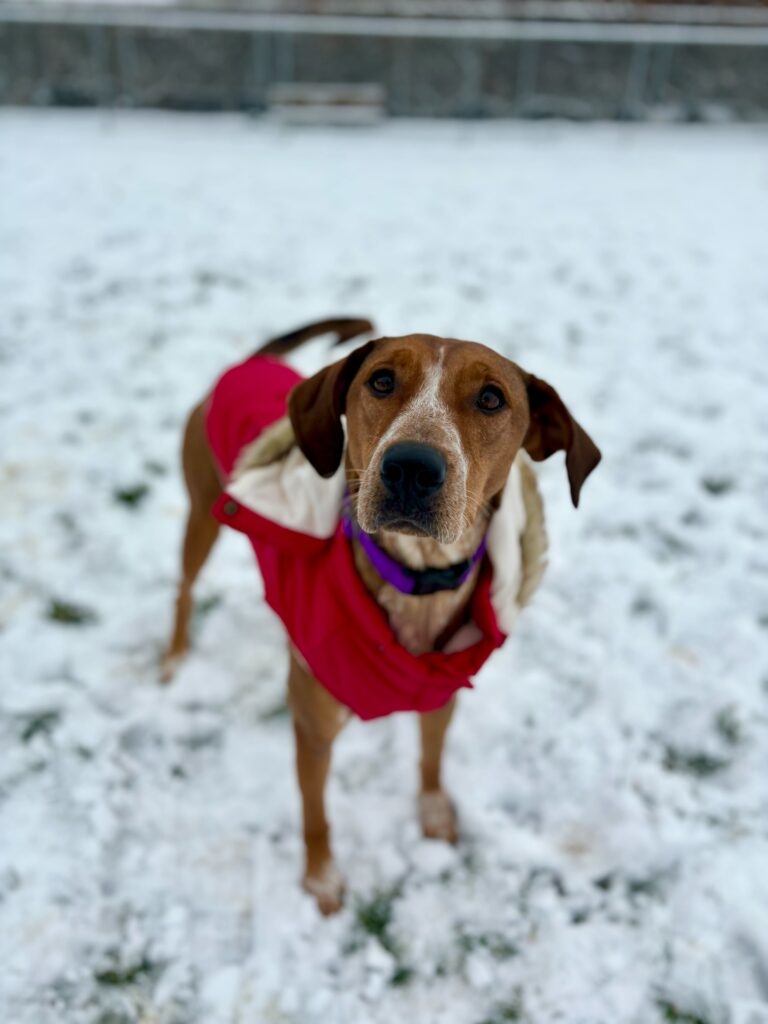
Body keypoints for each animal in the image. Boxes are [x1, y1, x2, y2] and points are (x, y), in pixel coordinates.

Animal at [166, 317, 602, 913]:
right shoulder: (313, 730)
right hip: (201, 513)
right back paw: (173, 658)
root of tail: (252, 360)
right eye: (381, 380)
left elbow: (431, 758)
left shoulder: (440, 693)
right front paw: (321, 880)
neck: (418, 581)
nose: (411, 466)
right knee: (184, 590)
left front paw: (434, 812)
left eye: (492, 398)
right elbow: (316, 815)